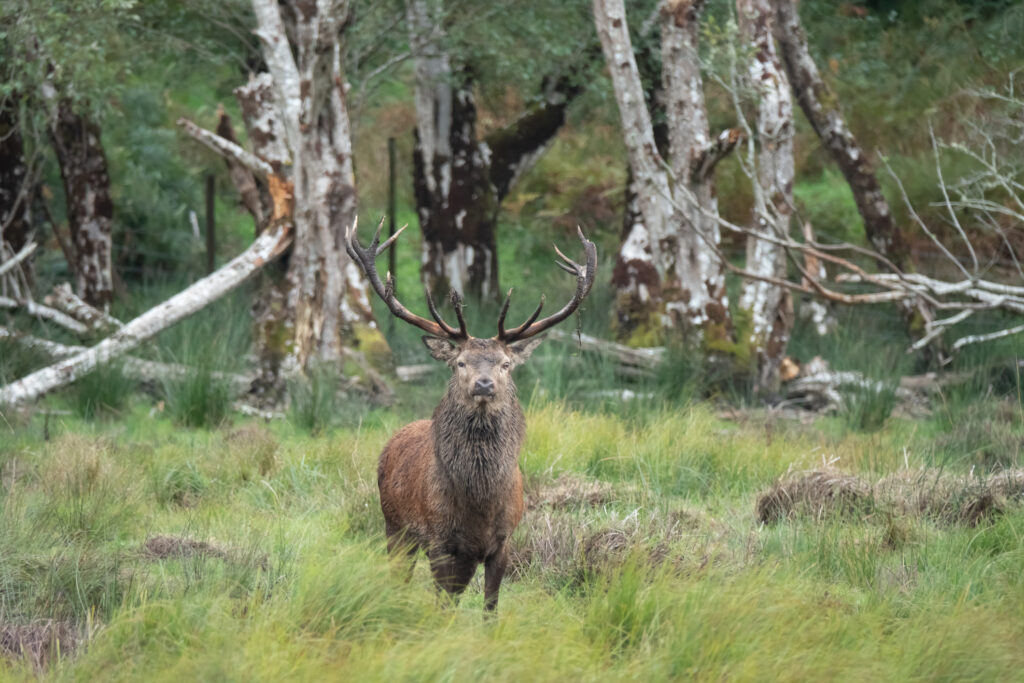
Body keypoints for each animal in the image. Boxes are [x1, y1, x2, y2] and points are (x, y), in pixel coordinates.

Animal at [345, 219, 596, 612]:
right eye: (460, 362)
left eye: (505, 364)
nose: (484, 384)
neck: (478, 502)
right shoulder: (438, 541)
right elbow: (442, 605)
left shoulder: (503, 543)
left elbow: (490, 606)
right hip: (394, 526)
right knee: (399, 577)